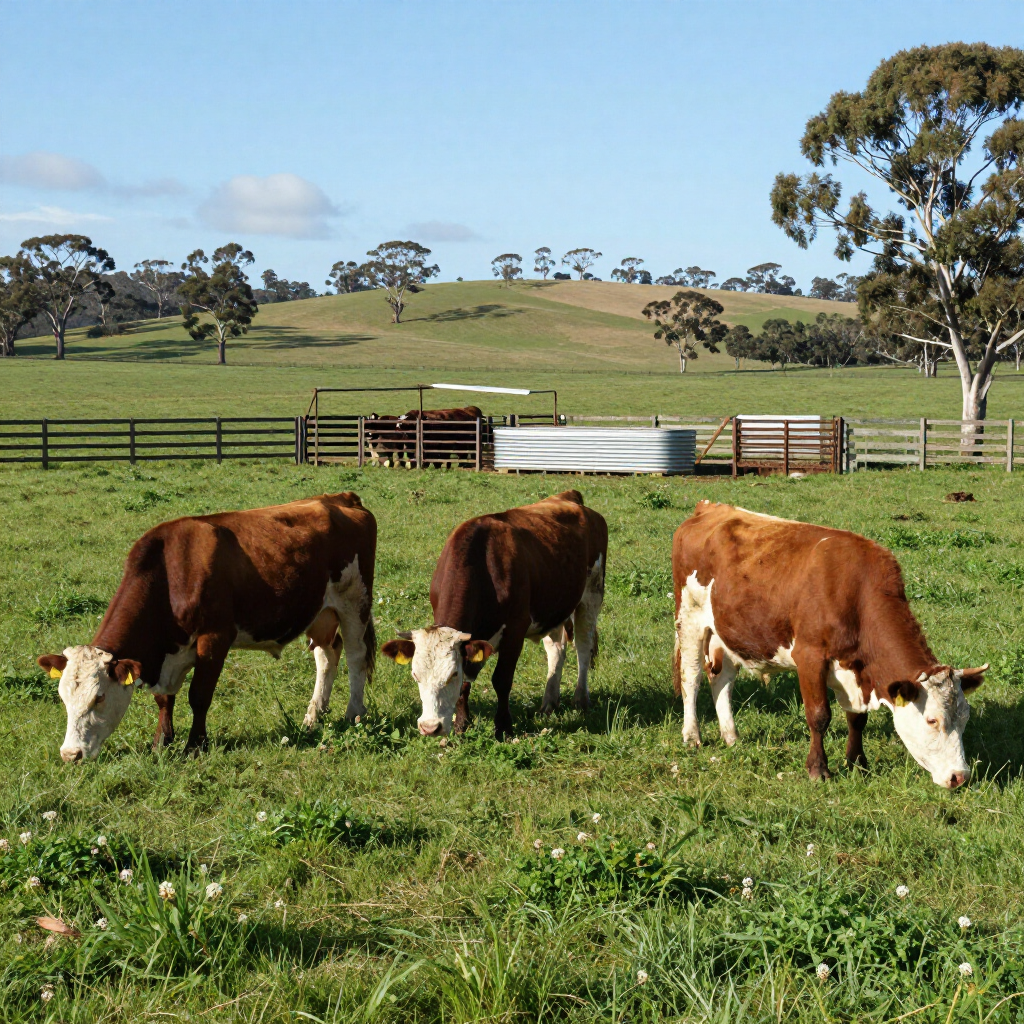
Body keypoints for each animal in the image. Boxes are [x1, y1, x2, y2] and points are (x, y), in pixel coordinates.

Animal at [37, 493, 376, 762]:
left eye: (99, 698)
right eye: (63, 698)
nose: (70, 754)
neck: (172, 572)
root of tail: (340, 498)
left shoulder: (214, 638)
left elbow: (198, 696)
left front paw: (194, 746)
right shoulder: (170, 654)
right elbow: (165, 699)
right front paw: (161, 743)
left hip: (354, 601)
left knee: (356, 656)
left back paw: (353, 713)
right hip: (321, 612)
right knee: (327, 655)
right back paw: (313, 715)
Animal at [381, 490, 607, 739]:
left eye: (452, 674)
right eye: (415, 676)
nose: (430, 727)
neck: (483, 566)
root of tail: (570, 497)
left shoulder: (515, 630)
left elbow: (502, 679)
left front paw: (504, 727)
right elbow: (467, 683)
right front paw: (462, 724)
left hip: (592, 594)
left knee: (584, 647)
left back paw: (581, 699)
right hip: (553, 607)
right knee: (556, 650)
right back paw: (549, 703)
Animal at [672, 501, 986, 788]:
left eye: (965, 718)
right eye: (933, 720)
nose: (960, 777)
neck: (855, 594)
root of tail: (709, 507)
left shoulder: (855, 671)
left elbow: (857, 720)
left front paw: (858, 764)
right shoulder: (809, 656)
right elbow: (819, 715)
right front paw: (818, 769)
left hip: (726, 630)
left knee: (722, 679)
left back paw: (731, 736)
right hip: (689, 617)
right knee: (692, 678)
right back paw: (692, 736)